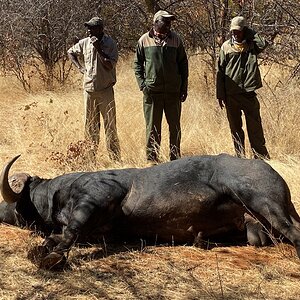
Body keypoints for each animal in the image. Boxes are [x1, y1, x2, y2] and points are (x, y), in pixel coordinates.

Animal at [1, 152, 300, 270]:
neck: (60, 193)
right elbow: (57, 237)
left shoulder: (95, 200)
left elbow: (69, 232)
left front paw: (52, 257)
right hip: (255, 226)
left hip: (263, 203)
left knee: (294, 232)